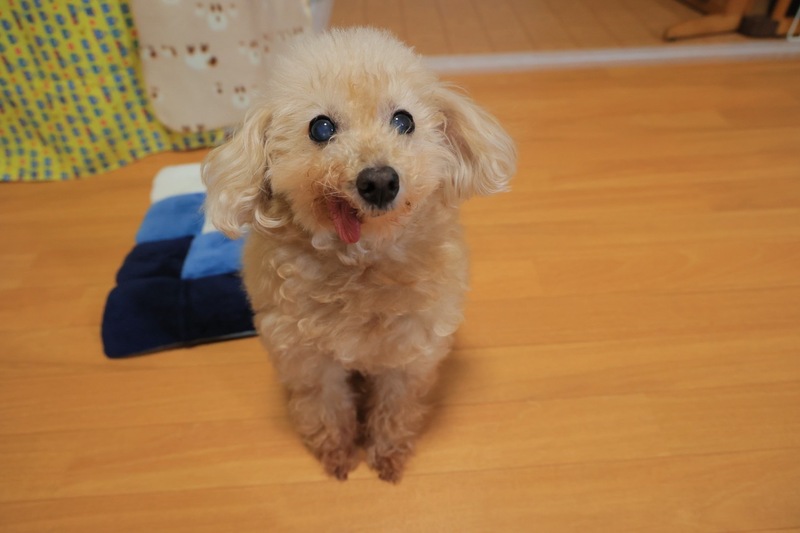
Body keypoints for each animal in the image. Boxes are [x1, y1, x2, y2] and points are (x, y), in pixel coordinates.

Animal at [202, 27, 516, 482]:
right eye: (321, 127)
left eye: (404, 120)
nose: (380, 180)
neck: (363, 262)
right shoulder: (308, 359)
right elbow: (325, 407)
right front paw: (337, 453)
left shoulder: (409, 354)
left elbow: (395, 406)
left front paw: (387, 454)